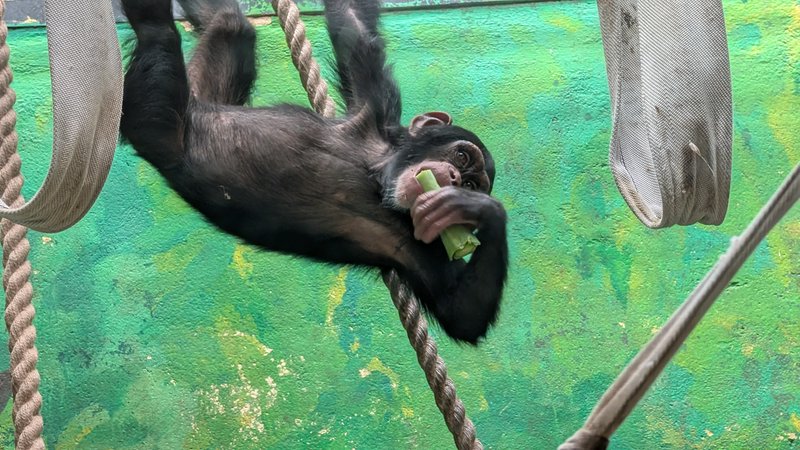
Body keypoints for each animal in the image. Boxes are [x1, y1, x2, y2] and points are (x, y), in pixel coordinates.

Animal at [118, 0, 509, 344]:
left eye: (473, 184)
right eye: (462, 157)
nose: (456, 179)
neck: (375, 175)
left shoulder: (420, 244)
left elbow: (461, 311)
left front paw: (476, 209)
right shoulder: (377, 108)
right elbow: (352, 22)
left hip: (161, 121)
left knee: (202, 30)